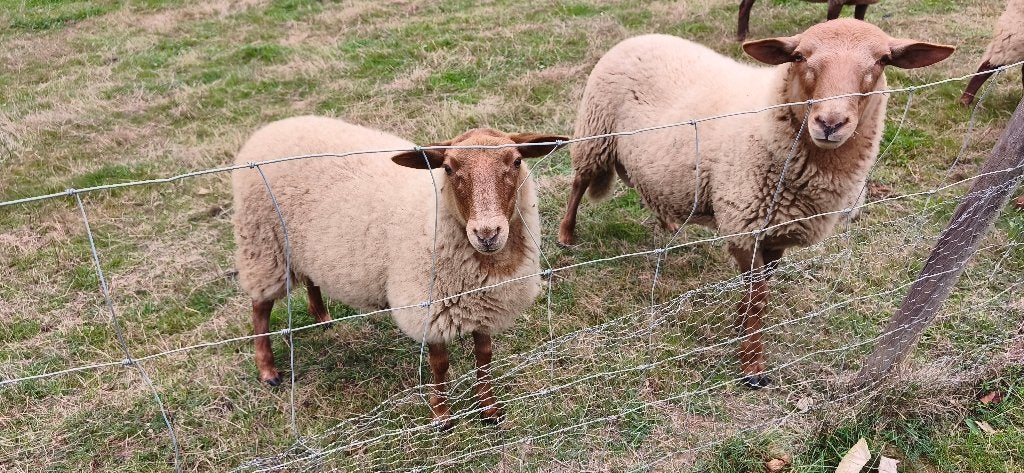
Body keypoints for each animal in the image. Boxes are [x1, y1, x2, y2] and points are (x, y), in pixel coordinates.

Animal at [232, 116, 567, 427]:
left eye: (517, 161)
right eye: (448, 168)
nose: (487, 234)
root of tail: (274, 126)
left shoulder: (486, 302)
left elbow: (484, 358)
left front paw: (489, 409)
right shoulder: (429, 306)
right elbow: (440, 364)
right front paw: (442, 416)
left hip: (303, 249)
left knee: (311, 279)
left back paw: (322, 317)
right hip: (265, 248)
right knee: (260, 308)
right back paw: (268, 370)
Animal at [558, 20, 953, 388]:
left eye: (883, 60)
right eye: (800, 57)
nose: (830, 123)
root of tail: (641, 37)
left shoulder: (776, 231)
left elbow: (760, 289)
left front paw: (740, 324)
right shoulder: (742, 226)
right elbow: (759, 295)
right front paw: (752, 366)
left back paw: (668, 224)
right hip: (594, 134)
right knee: (578, 183)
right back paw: (566, 236)